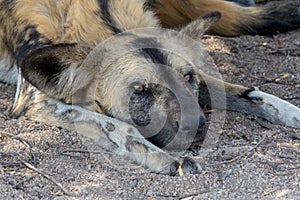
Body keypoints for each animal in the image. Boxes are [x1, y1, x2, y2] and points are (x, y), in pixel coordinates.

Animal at [0, 0, 298, 175]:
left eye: (188, 77)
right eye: (141, 89)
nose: (196, 126)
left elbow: (249, 93)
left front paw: (292, 112)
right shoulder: (35, 101)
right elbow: (120, 128)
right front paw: (167, 160)